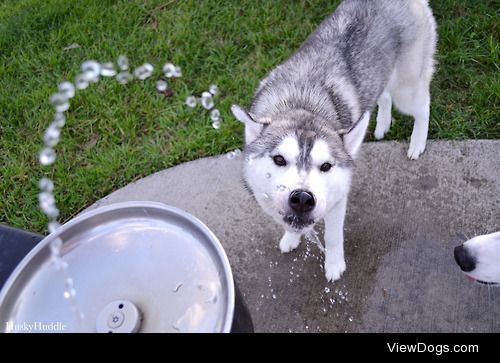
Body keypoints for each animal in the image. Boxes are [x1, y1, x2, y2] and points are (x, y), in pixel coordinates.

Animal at [232, 0, 436, 282]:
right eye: (279, 159)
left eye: (326, 166)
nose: (302, 199)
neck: (301, 101)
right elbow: (290, 225)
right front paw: (291, 238)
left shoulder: (338, 199)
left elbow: (333, 236)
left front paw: (334, 265)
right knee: (382, 97)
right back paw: (382, 123)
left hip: (406, 87)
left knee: (423, 105)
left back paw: (417, 141)